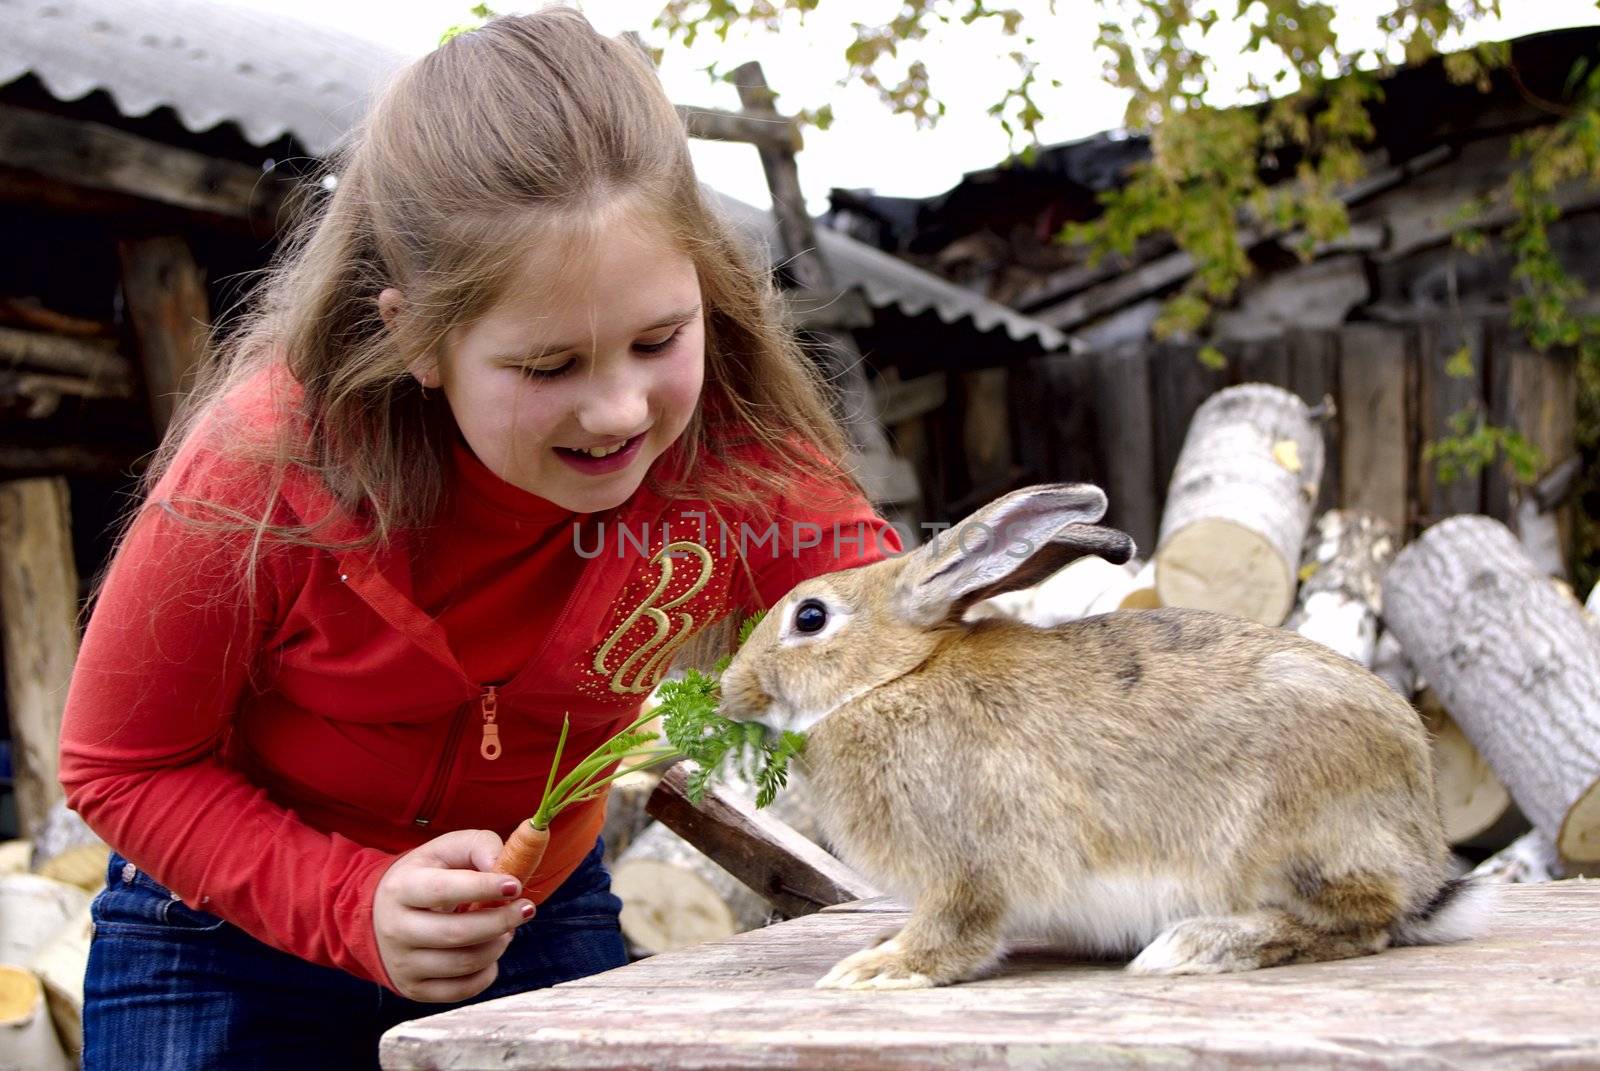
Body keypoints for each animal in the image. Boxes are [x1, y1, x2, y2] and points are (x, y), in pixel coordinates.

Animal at [720, 483, 1491, 986]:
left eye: (811, 617)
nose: (731, 689)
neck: (892, 678)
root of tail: (1424, 855)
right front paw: (883, 943)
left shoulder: (965, 870)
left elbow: (955, 933)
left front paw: (878, 967)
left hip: (1284, 843)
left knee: (1361, 923)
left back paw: (1196, 947)